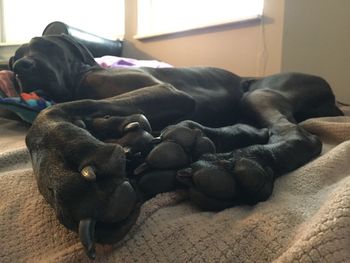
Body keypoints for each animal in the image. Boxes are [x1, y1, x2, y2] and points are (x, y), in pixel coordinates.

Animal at [10, 35, 342, 260]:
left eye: (46, 46)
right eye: (14, 58)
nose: (20, 68)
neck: (79, 77)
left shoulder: (167, 91)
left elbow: (51, 113)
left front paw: (63, 164)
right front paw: (120, 135)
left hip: (259, 93)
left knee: (300, 136)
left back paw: (228, 165)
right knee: (250, 130)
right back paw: (184, 146)